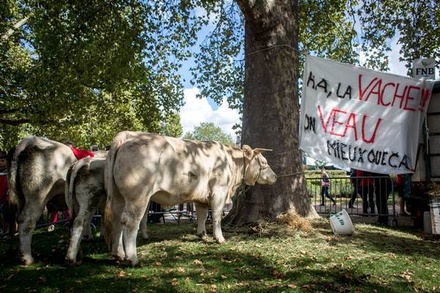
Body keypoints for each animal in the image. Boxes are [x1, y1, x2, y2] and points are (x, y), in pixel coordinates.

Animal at [103, 130, 276, 264]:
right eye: (264, 162)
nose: (275, 176)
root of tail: (128, 135)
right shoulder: (219, 192)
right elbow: (217, 216)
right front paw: (219, 238)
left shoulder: (201, 196)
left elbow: (202, 215)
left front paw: (202, 234)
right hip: (138, 196)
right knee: (131, 222)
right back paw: (132, 258)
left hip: (118, 196)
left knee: (117, 219)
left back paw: (118, 254)